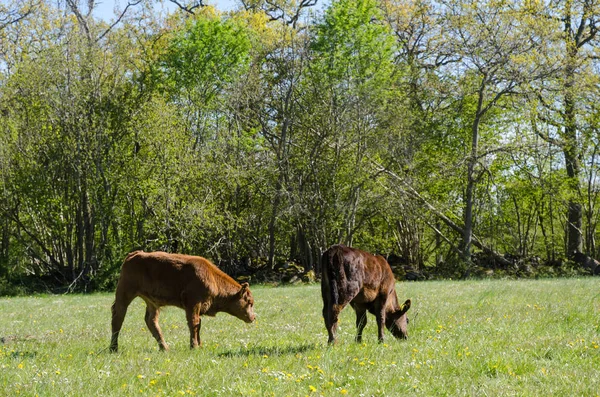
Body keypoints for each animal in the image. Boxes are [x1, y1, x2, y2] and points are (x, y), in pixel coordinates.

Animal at [109, 249, 254, 352]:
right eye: (249, 302)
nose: (253, 318)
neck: (212, 279)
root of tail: (135, 254)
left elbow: (198, 324)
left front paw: (199, 345)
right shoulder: (193, 304)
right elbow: (193, 323)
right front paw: (194, 346)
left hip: (152, 302)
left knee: (151, 320)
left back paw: (164, 348)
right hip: (124, 293)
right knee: (118, 317)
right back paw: (114, 348)